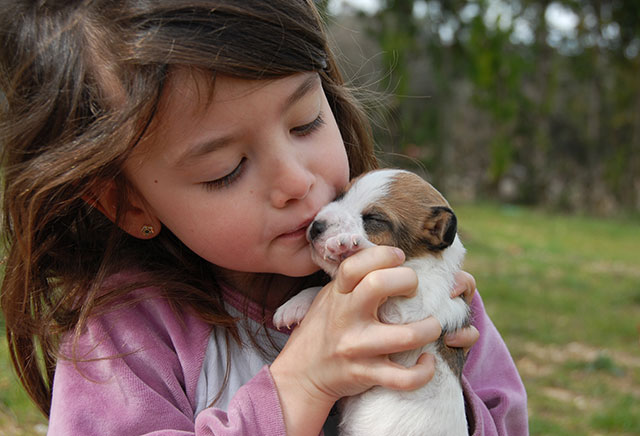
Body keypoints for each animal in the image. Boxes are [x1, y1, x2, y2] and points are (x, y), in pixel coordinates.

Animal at [274, 169, 470, 434]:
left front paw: (351, 246)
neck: (420, 262)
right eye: (340, 196)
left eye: (374, 218)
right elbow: (323, 287)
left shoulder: (412, 310)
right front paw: (293, 306)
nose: (316, 227)